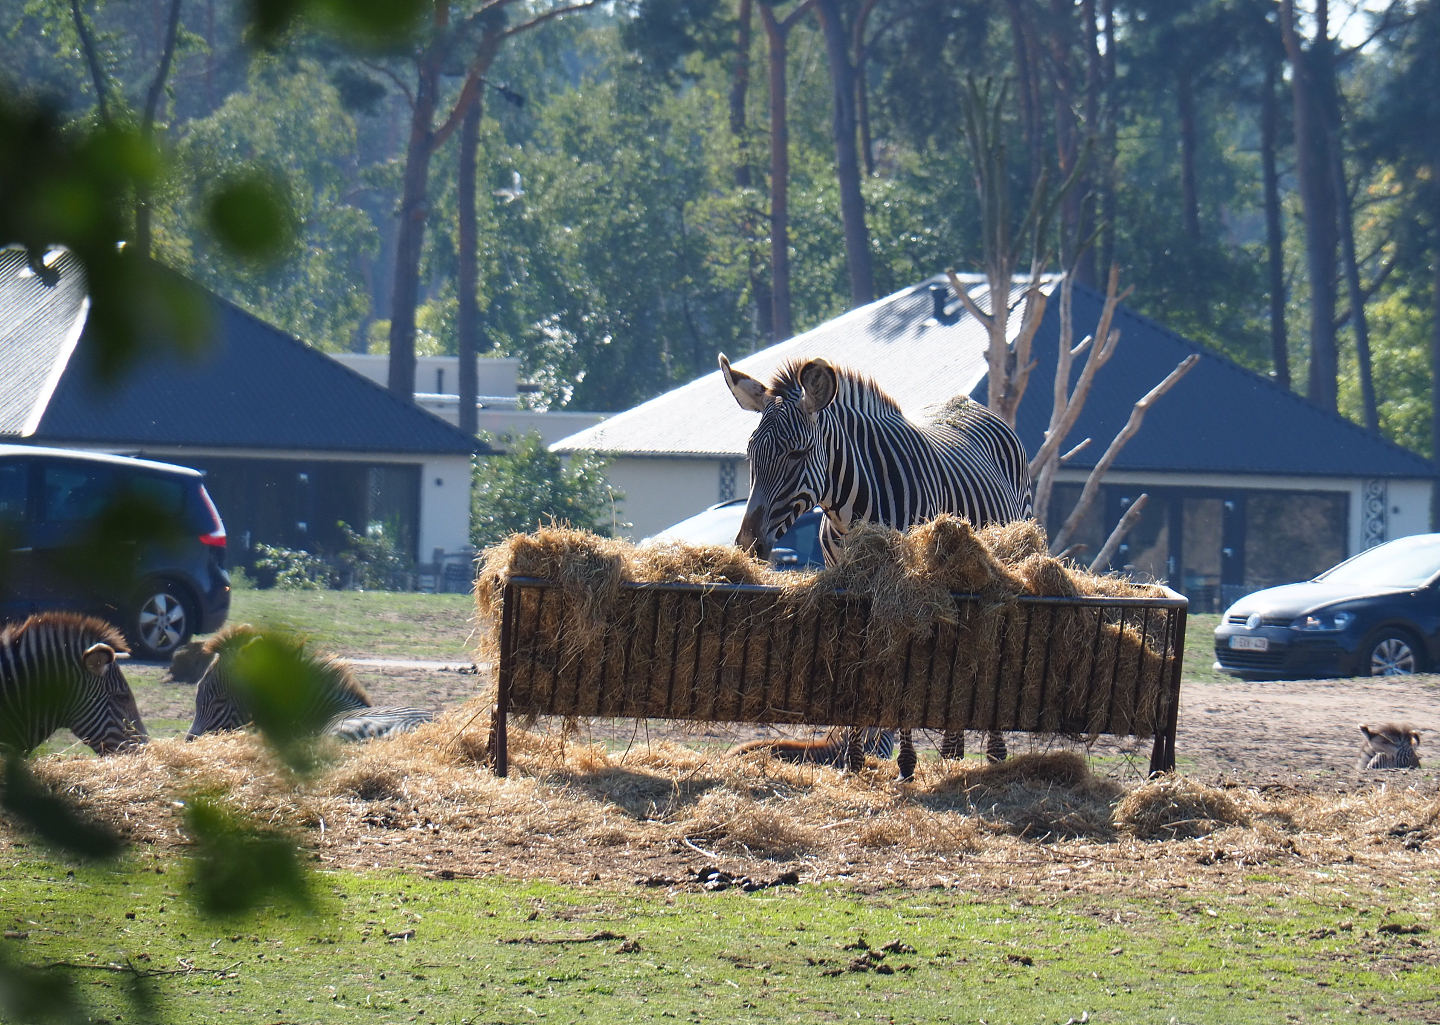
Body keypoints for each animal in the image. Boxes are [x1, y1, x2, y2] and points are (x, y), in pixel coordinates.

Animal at [720, 354, 1033, 781]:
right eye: (751, 454)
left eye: (798, 454)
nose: (748, 544)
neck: (848, 514)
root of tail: (971, 404)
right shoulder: (850, 585)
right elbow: (856, 660)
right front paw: (854, 761)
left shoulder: (908, 587)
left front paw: (905, 764)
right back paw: (952, 755)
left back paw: (994, 755)